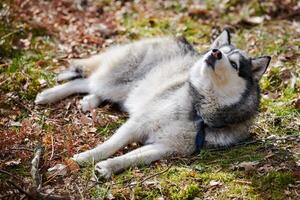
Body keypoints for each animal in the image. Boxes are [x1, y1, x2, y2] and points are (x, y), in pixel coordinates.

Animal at [35, 30, 272, 178]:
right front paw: (84, 158)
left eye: (234, 64)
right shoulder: (137, 123)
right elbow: (109, 146)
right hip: (116, 83)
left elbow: (131, 157)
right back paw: (49, 95)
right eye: (222, 52)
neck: (198, 111)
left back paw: (89, 101)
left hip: (124, 90)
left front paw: (109, 167)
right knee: (85, 81)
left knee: (92, 87)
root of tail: (176, 39)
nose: (215, 52)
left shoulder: (165, 147)